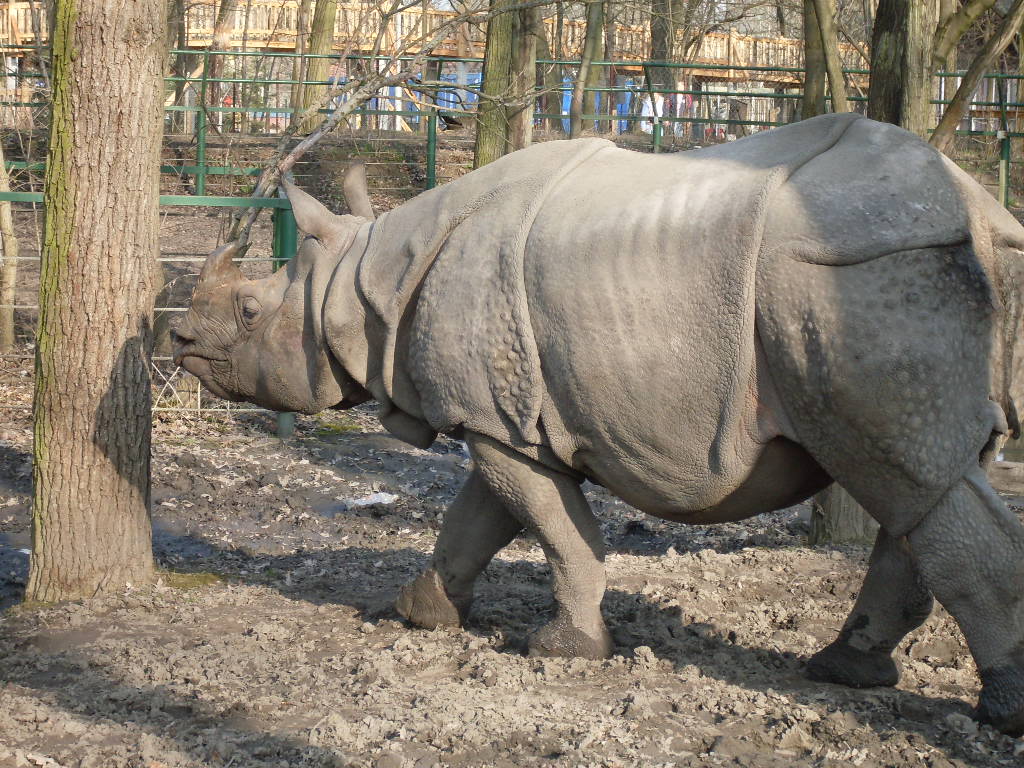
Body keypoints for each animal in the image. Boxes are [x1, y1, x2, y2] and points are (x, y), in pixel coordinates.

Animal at [173, 113, 1024, 736]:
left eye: (248, 311)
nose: (178, 341)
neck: (362, 281)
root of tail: (979, 208)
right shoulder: (502, 419)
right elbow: (473, 523)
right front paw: (421, 612)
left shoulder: (497, 424)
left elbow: (552, 530)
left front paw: (566, 651)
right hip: (888, 271)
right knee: (923, 486)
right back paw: (843, 670)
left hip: (857, 271)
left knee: (906, 478)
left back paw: (997, 714)